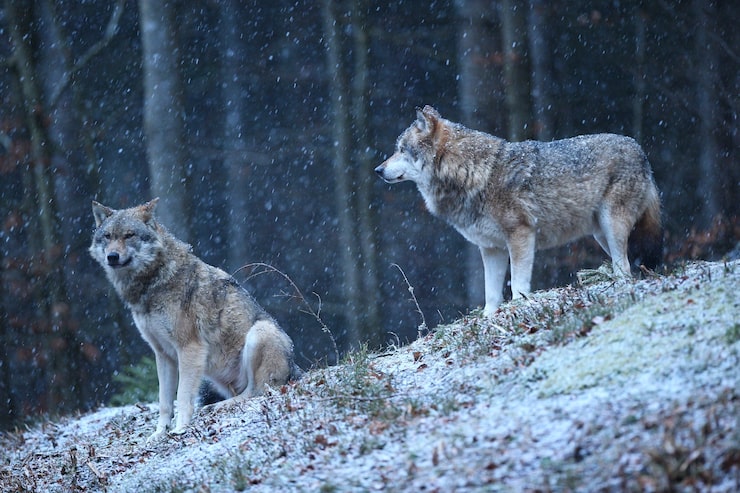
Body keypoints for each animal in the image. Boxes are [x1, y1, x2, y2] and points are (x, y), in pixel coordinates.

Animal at [90, 199, 300, 441]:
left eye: (129, 235)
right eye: (108, 236)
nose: (112, 256)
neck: (153, 282)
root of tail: (295, 369)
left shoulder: (189, 348)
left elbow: (182, 396)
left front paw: (180, 429)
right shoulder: (162, 354)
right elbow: (164, 402)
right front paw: (159, 433)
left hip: (259, 332)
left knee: (256, 392)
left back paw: (217, 407)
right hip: (215, 377)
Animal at [375, 105, 662, 317]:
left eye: (401, 150)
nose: (378, 170)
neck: (471, 172)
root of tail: (641, 150)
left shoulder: (521, 234)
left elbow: (519, 281)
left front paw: (519, 305)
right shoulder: (491, 248)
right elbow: (491, 293)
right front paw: (489, 318)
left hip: (612, 226)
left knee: (625, 267)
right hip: (601, 234)